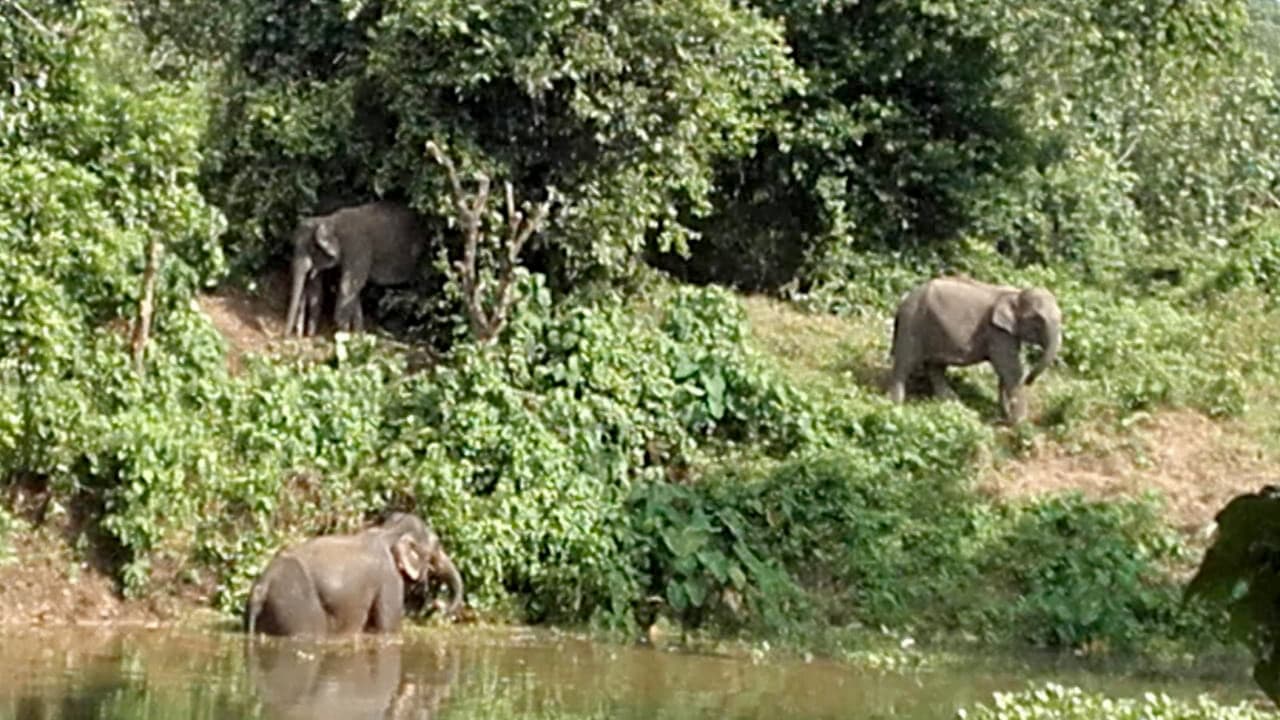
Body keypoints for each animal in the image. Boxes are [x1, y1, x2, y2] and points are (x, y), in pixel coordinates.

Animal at [241, 509, 463, 632]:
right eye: (437, 546)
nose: (438, 604)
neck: (388, 531)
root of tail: (262, 586)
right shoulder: (389, 579)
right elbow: (387, 628)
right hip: (295, 608)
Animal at [284, 197, 424, 335]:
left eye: (311, 249)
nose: (287, 335)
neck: (330, 221)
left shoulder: (357, 249)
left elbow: (348, 286)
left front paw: (344, 333)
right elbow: (330, 288)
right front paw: (357, 334)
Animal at [890, 272, 1059, 420]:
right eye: (1036, 319)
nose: (1029, 380)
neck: (1015, 293)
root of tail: (903, 301)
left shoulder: (1007, 333)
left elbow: (1005, 370)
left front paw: (1006, 414)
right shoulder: (997, 332)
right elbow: (1011, 369)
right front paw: (1020, 422)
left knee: (935, 367)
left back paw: (951, 402)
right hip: (912, 324)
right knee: (904, 364)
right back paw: (895, 405)